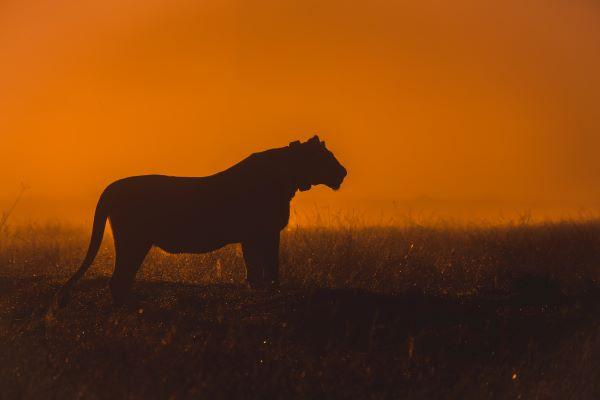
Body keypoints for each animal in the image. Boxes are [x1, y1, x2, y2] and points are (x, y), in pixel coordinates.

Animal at [55, 135, 346, 306]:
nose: (343, 172)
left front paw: (255, 288)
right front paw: (270, 291)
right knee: (117, 280)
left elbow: (254, 267)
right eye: (327, 157)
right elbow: (269, 266)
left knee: (121, 280)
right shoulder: (264, 232)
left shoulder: (251, 236)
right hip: (133, 241)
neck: (288, 176)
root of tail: (113, 187)